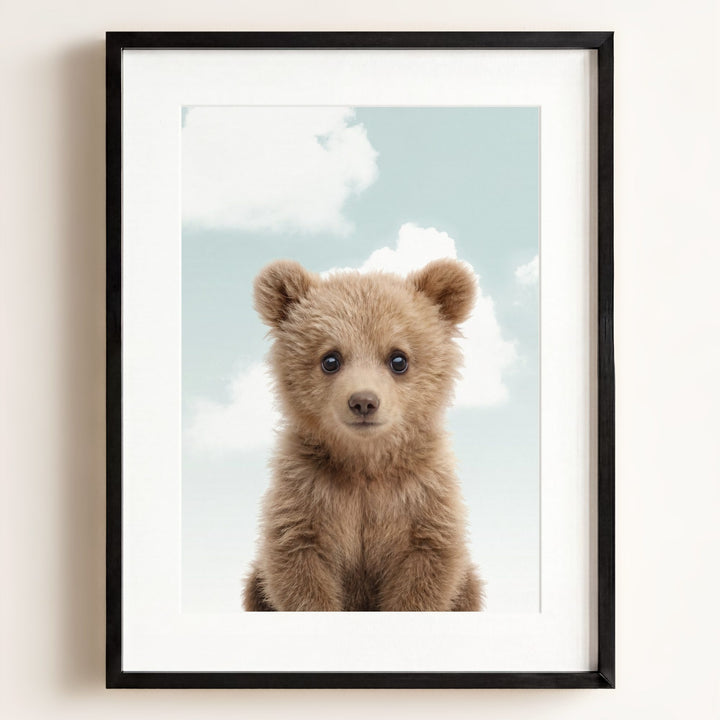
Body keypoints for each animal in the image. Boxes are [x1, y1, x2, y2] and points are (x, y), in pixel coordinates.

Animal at [243, 257, 484, 611]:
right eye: (330, 359)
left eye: (399, 359)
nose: (364, 401)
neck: (364, 463)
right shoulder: (306, 493)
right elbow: (299, 567)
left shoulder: (421, 498)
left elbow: (425, 570)